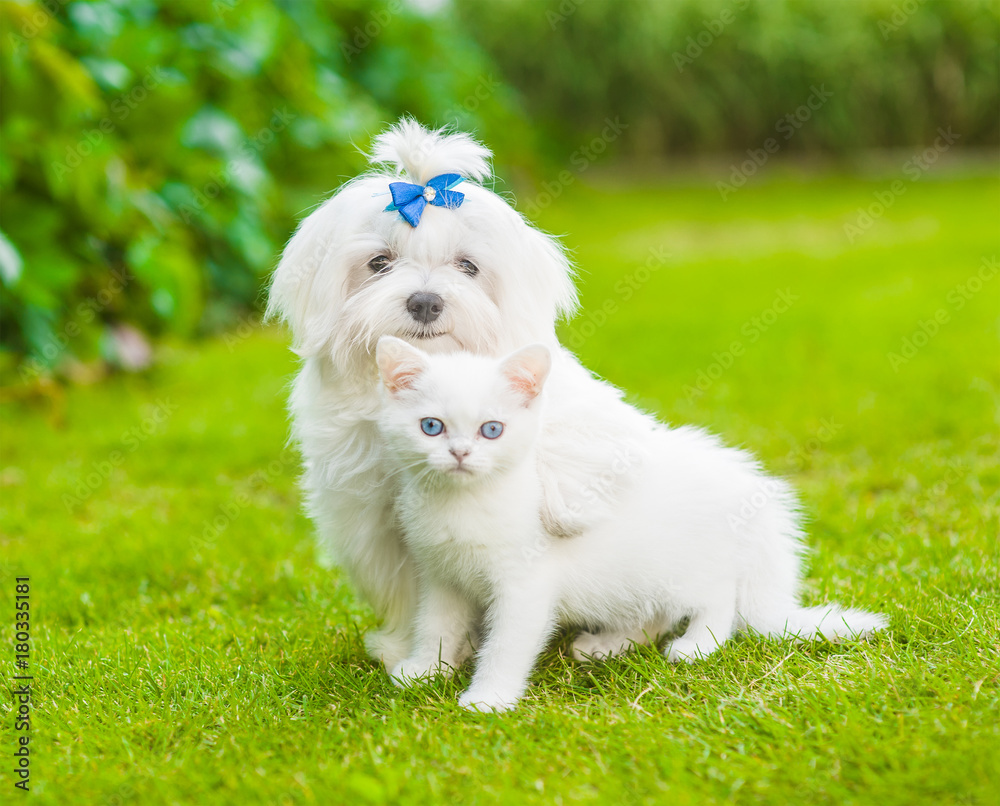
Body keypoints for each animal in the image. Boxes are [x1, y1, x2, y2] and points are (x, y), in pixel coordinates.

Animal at [378, 338, 888, 716]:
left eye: (492, 429)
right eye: (431, 426)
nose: (460, 453)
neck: (461, 506)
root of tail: (745, 488)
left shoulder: (525, 585)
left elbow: (507, 642)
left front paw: (489, 698)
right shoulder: (440, 577)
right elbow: (436, 624)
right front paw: (424, 669)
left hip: (686, 563)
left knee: (718, 597)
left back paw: (697, 645)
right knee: (655, 613)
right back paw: (606, 645)